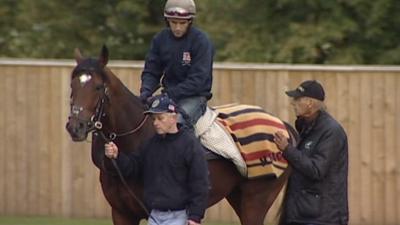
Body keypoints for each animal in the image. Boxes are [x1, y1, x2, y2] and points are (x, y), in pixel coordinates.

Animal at [65, 46, 296, 225]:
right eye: (72, 86)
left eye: (97, 87)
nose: (75, 126)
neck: (135, 137)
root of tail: (284, 128)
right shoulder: (122, 214)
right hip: (237, 196)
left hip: (256, 200)